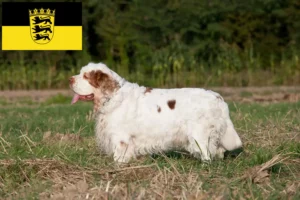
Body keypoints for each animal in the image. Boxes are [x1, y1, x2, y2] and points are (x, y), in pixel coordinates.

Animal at [69, 62, 243, 162]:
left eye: (86, 76)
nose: (70, 79)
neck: (113, 95)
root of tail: (218, 98)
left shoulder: (121, 138)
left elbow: (119, 156)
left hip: (199, 135)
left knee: (207, 154)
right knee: (219, 151)